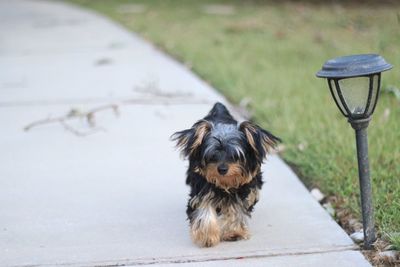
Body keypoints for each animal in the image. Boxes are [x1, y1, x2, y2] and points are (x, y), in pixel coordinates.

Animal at [172, 102, 282, 247]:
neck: (225, 182)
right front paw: (207, 235)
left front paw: (233, 232)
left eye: (236, 155)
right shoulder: (202, 188)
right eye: (213, 155)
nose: (222, 169)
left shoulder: (245, 190)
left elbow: (236, 208)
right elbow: (204, 208)